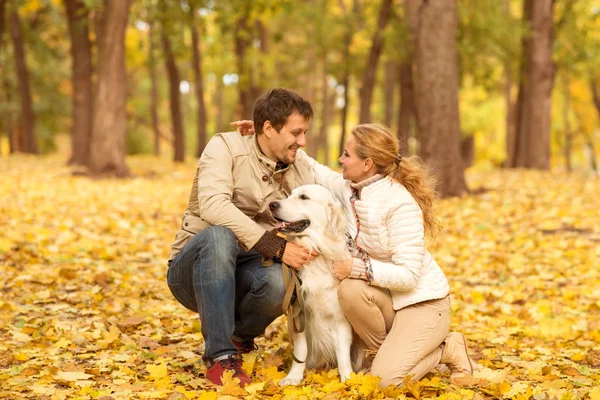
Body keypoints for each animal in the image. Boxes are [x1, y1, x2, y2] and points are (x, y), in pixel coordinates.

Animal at [270, 184, 354, 384]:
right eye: (289, 194)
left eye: (303, 197)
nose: (272, 205)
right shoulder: (298, 313)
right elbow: (301, 350)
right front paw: (293, 377)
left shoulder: (340, 318)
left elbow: (342, 353)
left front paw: (349, 380)